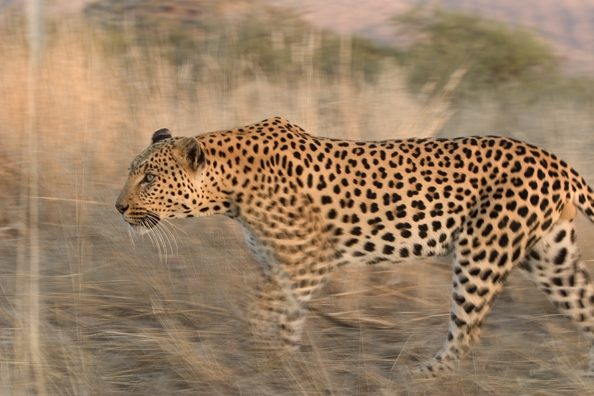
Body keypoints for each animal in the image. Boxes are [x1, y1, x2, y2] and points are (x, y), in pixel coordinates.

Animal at [115, 117, 594, 378]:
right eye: (132, 172)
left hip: (482, 255)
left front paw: (265, 355)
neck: (227, 188)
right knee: (586, 303)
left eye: (149, 179)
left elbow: (257, 311)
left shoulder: (308, 260)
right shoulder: (285, 268)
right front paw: (280, 365)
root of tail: (556, 161)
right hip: (550, 260)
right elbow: (286, 316)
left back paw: (421, 377)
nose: (118, 207)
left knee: (466, 334)